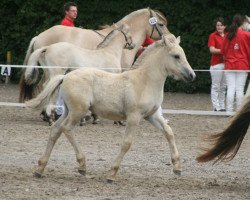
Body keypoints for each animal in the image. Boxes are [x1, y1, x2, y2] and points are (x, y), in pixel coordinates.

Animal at [26, 33, 196, 181]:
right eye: (176, 56)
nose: (192, 75)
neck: (145, 81)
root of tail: (65, 76)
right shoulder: (134, 117)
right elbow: (127, 143)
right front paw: (112, 174)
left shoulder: (151, 116)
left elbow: (169, 133)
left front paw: (177, 167)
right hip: (78, 111)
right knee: (66, 129)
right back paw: (82, 165)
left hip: (69, 111)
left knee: (55, 129)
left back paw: (40, 169)